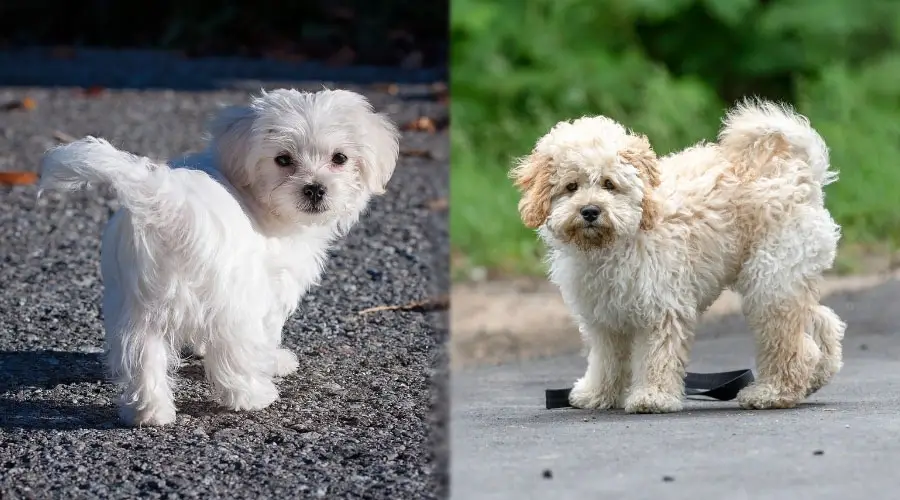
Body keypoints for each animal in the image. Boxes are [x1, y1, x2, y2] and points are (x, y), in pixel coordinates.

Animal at [38, 88, 398, 424]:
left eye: (340, 158)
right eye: (283, 160)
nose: (315, 189)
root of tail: (169, 205)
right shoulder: (270, 287)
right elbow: (268, 332)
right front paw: (275, 361)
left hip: (137, 304)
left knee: (142, 354)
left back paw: (149, 413)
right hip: (232, 299)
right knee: (233, 353)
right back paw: (253, 396)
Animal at [510, 98, 848, 414]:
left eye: (609, 184)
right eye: (571, 186)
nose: (590, 211)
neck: (622, 237)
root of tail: (801, 176)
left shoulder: (661, 306)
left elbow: (656, 356)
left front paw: (652, 397)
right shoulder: (605, 317)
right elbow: (607, 359)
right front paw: (598, 394)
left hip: (771, 279)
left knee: (793, 343)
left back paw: (772, 393)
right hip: (787, 277)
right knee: (822, 321)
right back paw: (817, 375)